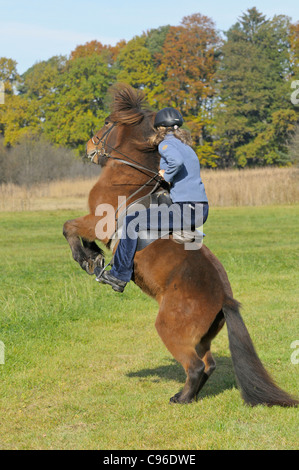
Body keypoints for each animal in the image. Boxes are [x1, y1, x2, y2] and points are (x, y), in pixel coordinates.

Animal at [62, 85, 298, 408]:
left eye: (107, 122)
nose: (89, 147)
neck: (130, 175)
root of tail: (224, 299)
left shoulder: (100, 220)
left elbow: (69, 227)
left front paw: (87, 259)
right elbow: (78, 231)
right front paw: (93, 257)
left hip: (170, 329)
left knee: (196, 366)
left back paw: (182, 398)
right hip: (201, 338)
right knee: (208, 364)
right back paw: (188, 395)